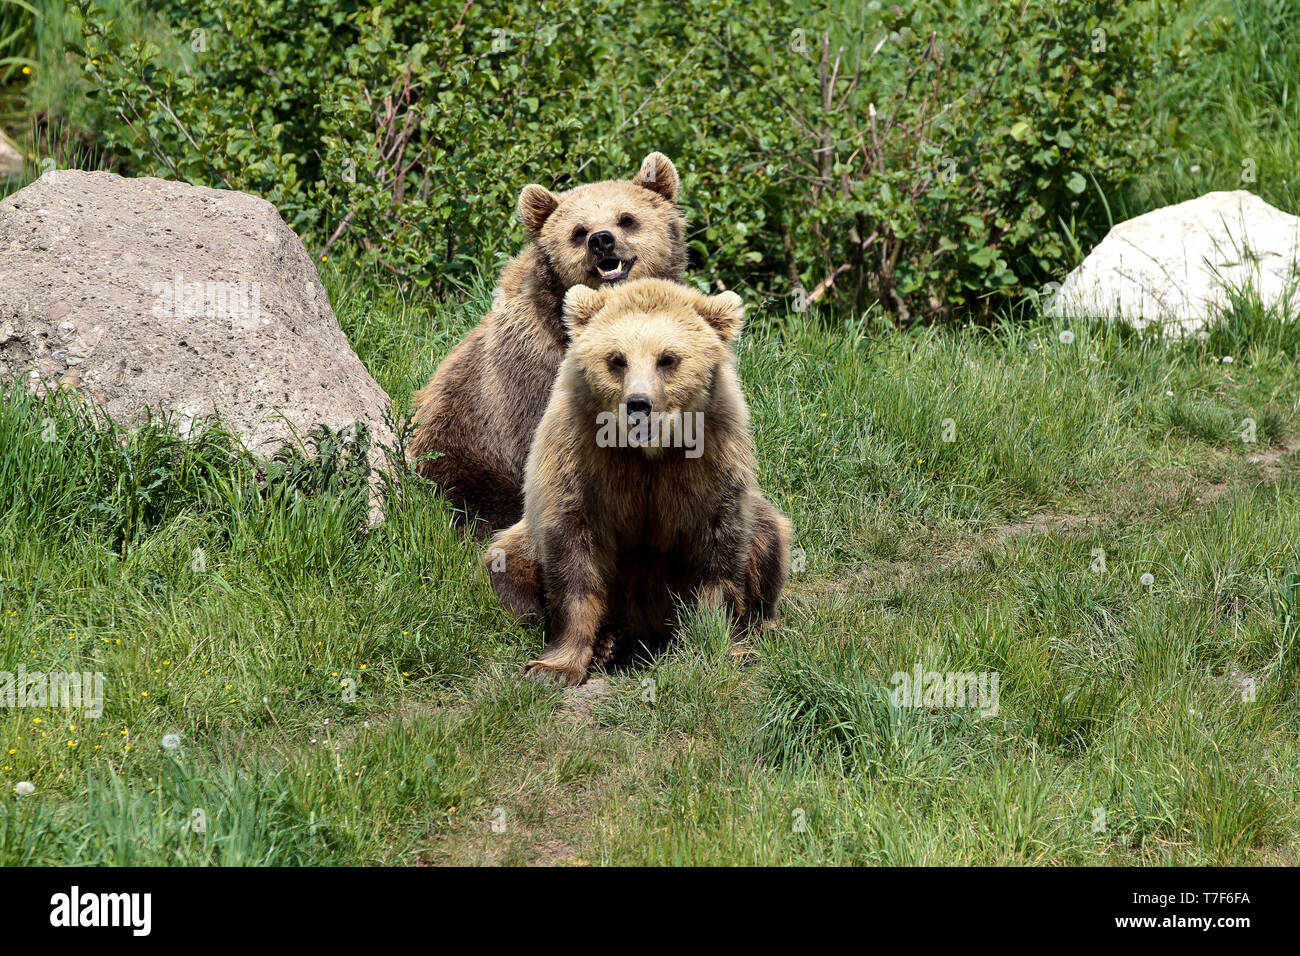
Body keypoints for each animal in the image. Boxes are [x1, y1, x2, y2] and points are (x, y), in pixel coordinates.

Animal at [484, 278, 792, 687]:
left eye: (668, 358)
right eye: (616, 359)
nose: (638, 403)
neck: (649, 453)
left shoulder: (711, 462)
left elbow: (720, 552)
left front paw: (723, 644)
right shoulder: (580, 461)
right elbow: (574, 558)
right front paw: (553, 666)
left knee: (768, 535)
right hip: (526, 543)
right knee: (507, 562)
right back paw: (609, 643)